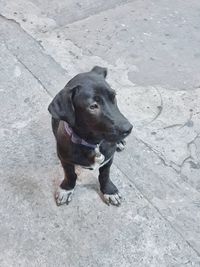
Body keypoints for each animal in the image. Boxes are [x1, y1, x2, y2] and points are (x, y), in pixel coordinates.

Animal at [48, 67, 133, 207]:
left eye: (114, 96)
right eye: (93, 106)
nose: (129, 128)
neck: (93, 143)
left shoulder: (109, 157)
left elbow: (104, 175)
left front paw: (109, 191)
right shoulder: (64, 158)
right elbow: (70, 174)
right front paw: (66, 189)